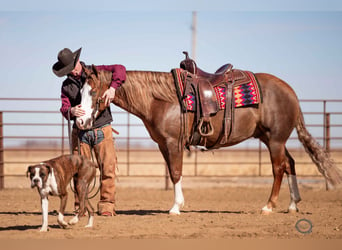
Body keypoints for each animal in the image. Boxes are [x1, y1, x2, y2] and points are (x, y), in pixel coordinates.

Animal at [75, 63, 342, 215]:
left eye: (94, 91)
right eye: (79, 91)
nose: (80, 122)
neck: (160, 98)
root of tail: (291, 92)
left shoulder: (173, 142)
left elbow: (176, 173)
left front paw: (176, 207)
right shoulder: (162, 145)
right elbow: (173, 172)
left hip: (275, 140)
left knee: (279, 168)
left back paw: (269, 206)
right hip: (271, 139)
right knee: (290, 164)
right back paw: (293, 204)